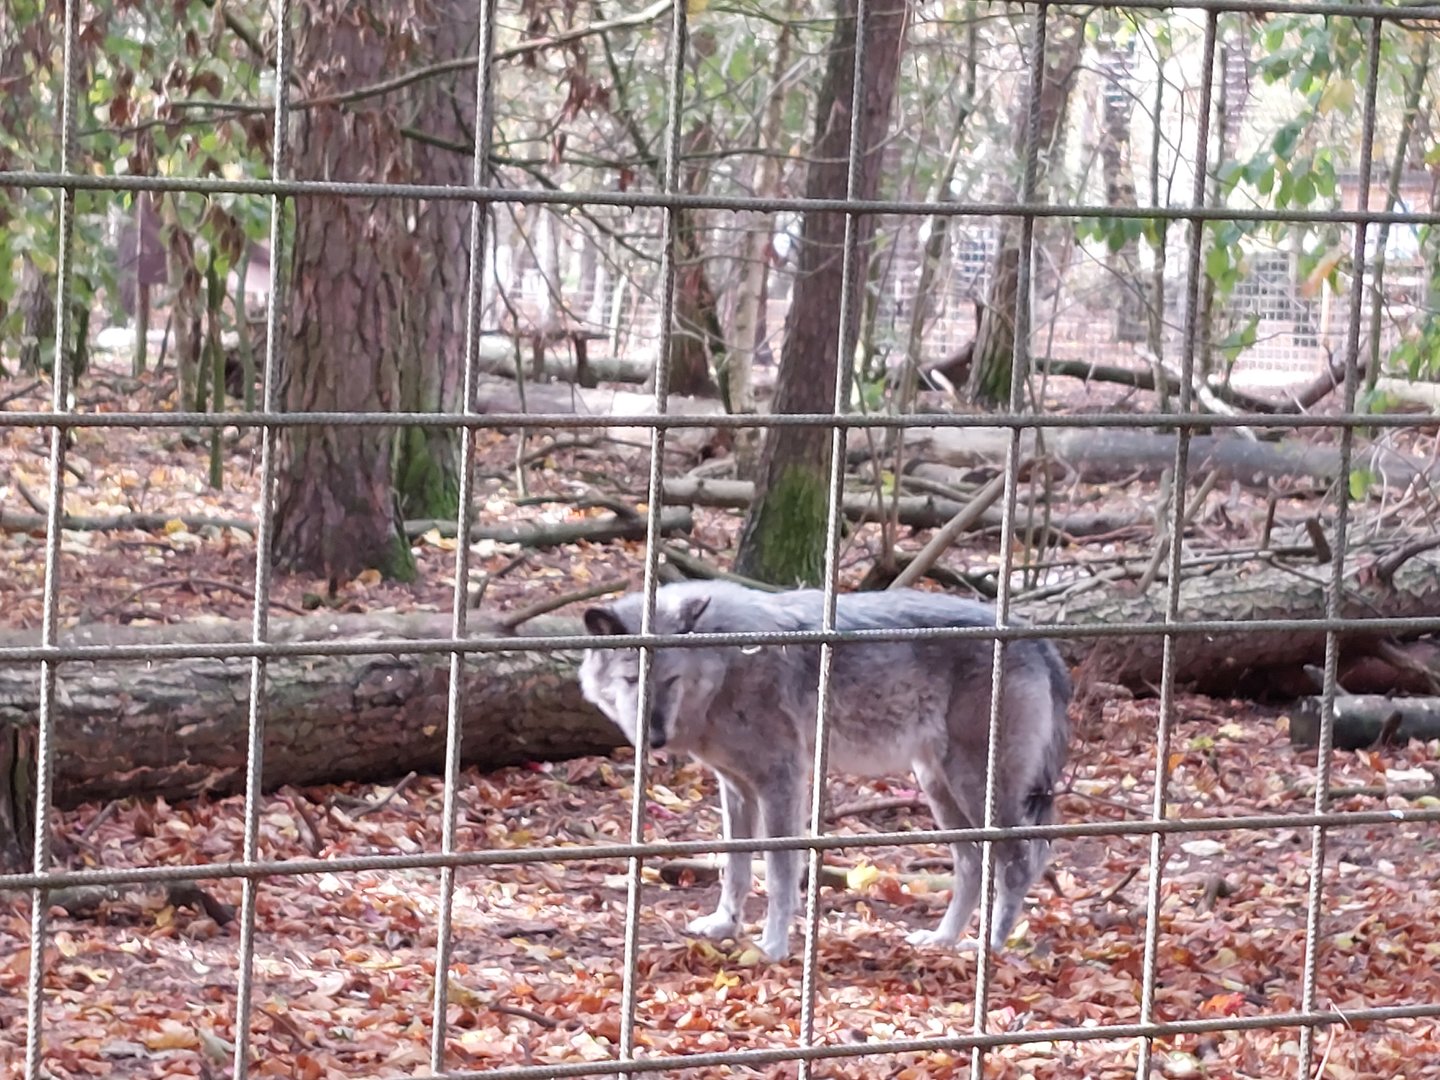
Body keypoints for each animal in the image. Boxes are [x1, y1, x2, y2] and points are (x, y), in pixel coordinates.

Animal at [578, 581, 1071, 962]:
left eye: (670, 680)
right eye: (631, 681)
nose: (655, 738)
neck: (727, 661)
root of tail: (1039, 639)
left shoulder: (782, 779)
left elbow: (779, 872)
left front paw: (773, 947)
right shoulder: (735, 786)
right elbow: (735, 866)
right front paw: (724, 925)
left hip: (973, 785)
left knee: (1017, 862)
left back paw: (990, 946)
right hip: (938, 786)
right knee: (972, 863)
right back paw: (943, 938)